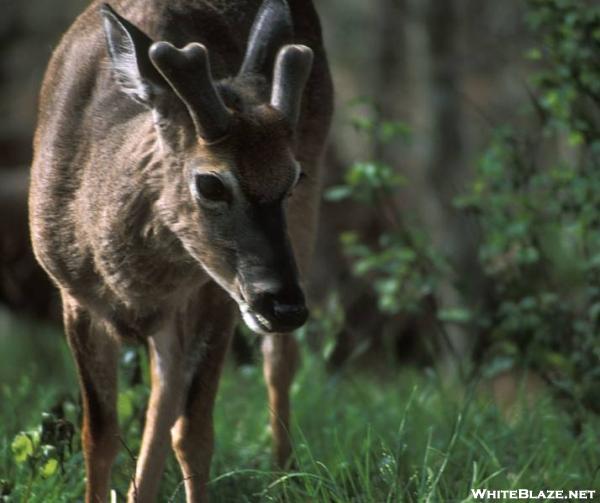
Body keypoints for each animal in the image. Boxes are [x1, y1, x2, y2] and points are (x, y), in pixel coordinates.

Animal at [29, 0, 332, 500]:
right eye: (210, 182)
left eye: (293, 177)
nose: (285, 305)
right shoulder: (73, 296)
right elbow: (99, 434)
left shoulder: (212, 296)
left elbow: (193, 433)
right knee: (163, 398)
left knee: (277, 360)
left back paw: (284, 473)